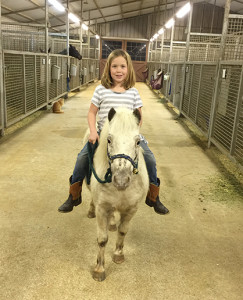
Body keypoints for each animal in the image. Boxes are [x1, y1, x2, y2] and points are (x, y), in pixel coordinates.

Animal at [87, 108, 148, 282]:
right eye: (109, 140)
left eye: (138, 142)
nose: (121, 179)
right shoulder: (102, 208)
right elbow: (102, 240)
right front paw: (99, 269)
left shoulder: (131, 209)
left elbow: (122, 231)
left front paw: (118, 255)